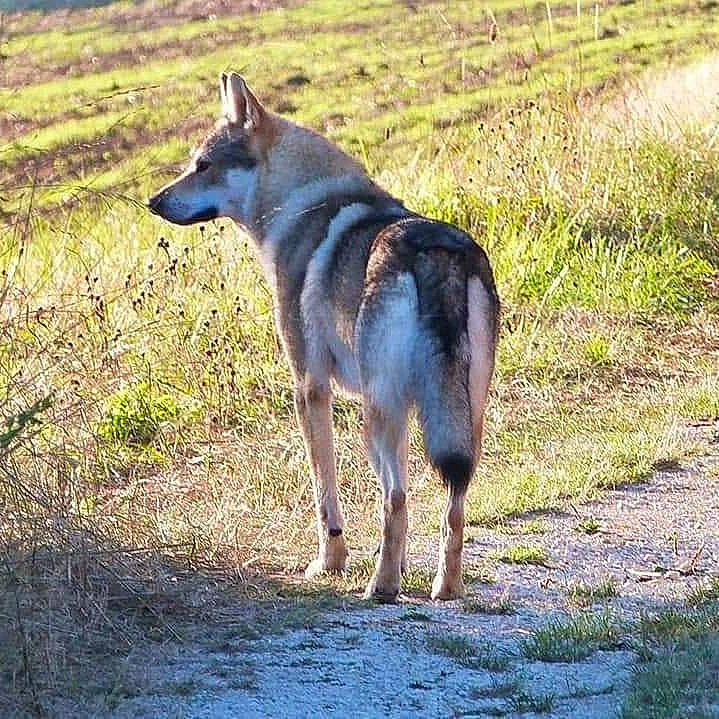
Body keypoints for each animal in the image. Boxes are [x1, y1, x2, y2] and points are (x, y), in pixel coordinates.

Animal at [147, 72, 499, 602]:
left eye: (203, 165)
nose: (154, 201)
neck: (298, 204)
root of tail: (435, 252)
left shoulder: (309, 387)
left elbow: (323, 494)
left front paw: (328, 563)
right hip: (457, 419)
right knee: (451, 508)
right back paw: (445, 588)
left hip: (379, 415)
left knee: (396, 498)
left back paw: (381, 587)